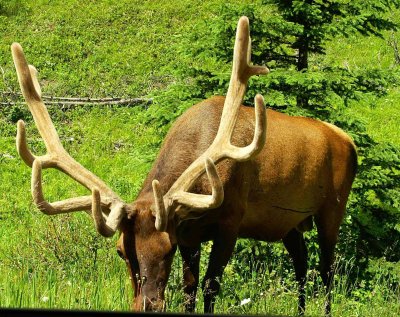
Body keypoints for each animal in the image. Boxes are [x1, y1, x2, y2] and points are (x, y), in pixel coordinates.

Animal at [11, 16, 356, 314]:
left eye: (168, 247)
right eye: (121, 250)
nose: (148, 305)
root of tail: (348, 140)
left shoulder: (230, 221)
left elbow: (209, 287)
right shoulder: (191, 233)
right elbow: (189, 290)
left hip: (332, 207)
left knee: (327, 271)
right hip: (290, 224)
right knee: (302, 267)